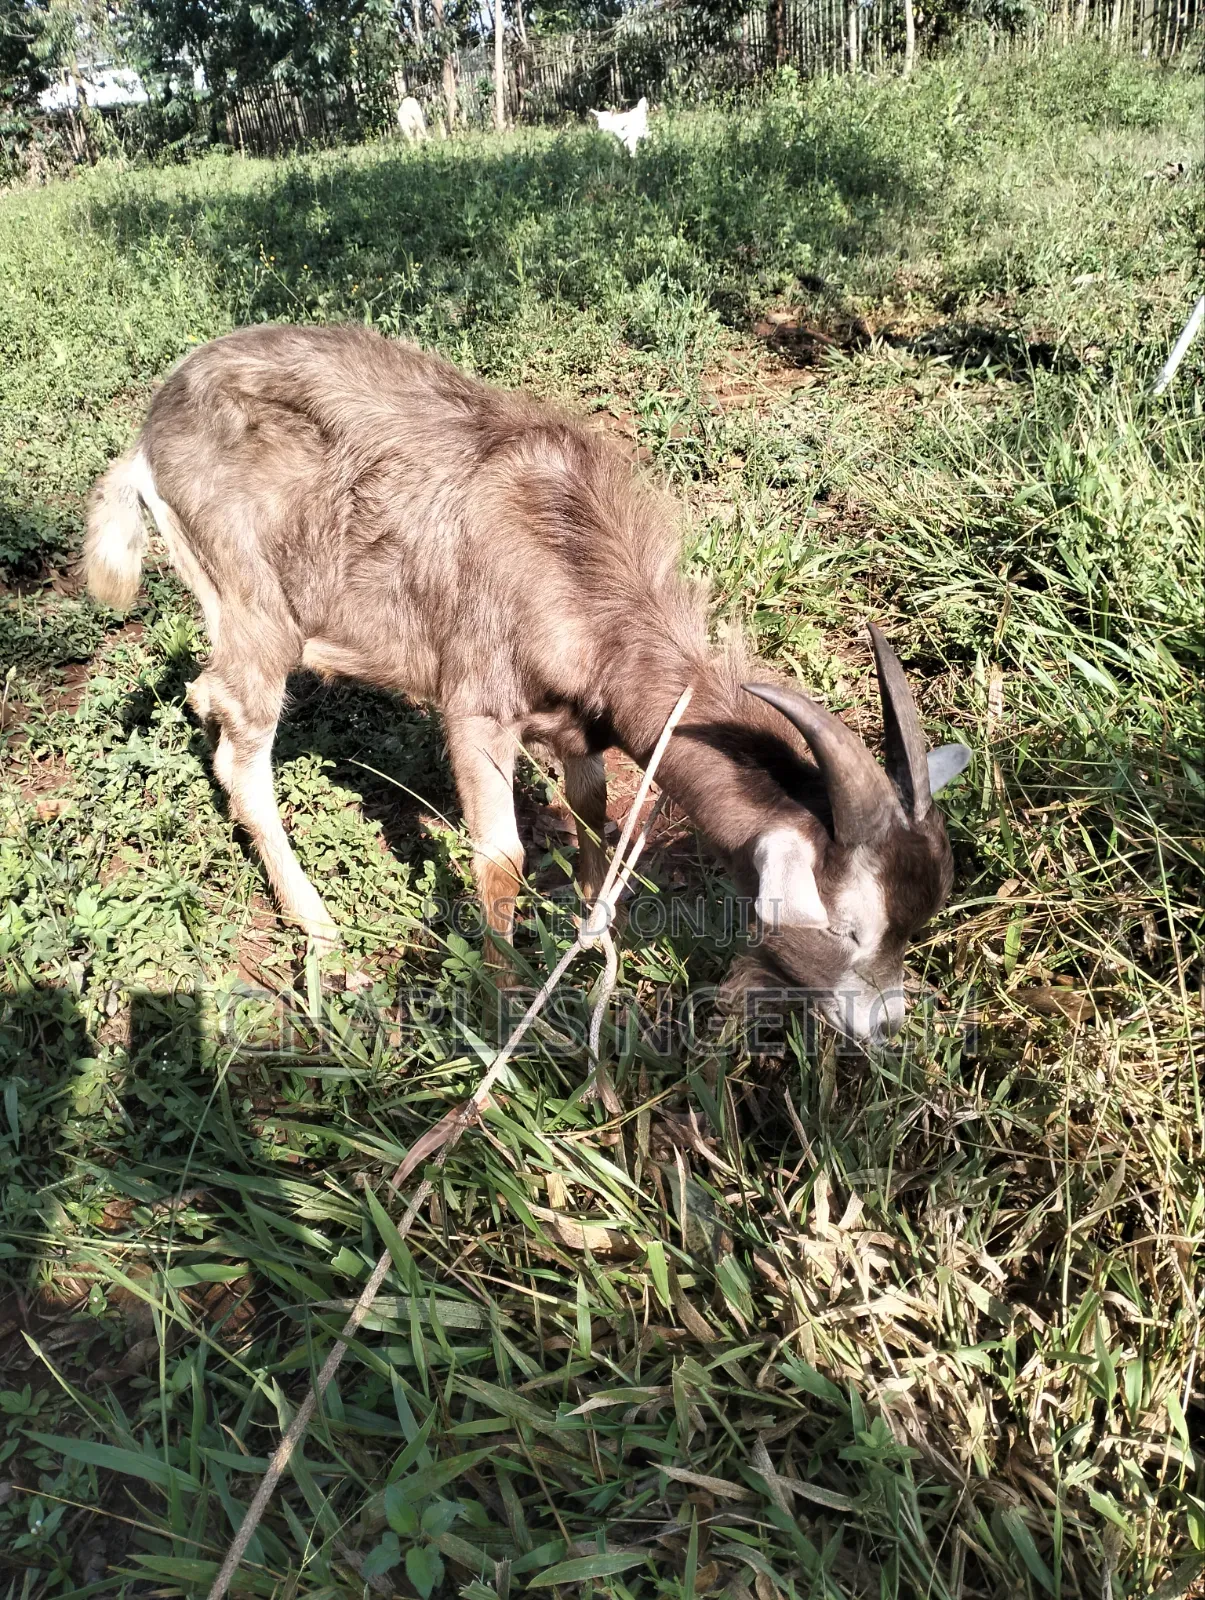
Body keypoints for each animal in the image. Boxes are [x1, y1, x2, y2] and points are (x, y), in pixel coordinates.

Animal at [84, 324, 970, 1043]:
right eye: (851, 929)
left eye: (916, 922)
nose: (883, 1025)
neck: (568, 552)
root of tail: (148, 437)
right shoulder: (476, 706)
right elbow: (499, 857)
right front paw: (505, 999)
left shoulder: (579, 724)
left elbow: (592, 813)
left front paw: (595, 929)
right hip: (254, 602)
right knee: (245, 748)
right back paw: (319, 927)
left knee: (210, 696)